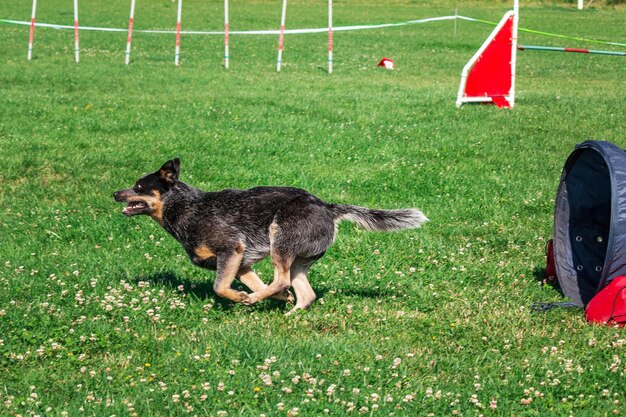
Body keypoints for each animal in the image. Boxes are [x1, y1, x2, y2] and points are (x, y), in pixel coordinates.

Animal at [112, 158, 426, 312]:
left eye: (138, 186)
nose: (115, 193)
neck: (186, 207)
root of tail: (327, 206)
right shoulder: (242, 264)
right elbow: (254, 283)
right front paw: (271, 298)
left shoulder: (231, 250)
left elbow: (220, 288)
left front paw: (242, 297)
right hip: (298, 260)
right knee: (304, 293)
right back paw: (290, 313)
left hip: (280, 238)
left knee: (282, 279)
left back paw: (255, 300)